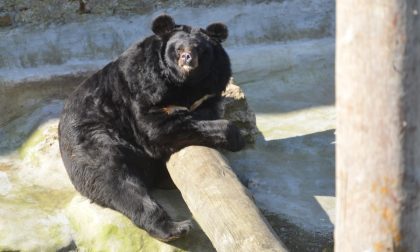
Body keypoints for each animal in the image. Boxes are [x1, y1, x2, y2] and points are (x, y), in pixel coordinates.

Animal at [57, 14, 244, 242]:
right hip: (94, 140)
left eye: (199, 49)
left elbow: (207, 106)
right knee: (117, 181)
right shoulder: (142, 88)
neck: (184, 84)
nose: (187, 59)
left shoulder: (212, 85)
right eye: (178, 49)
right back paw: (175, 228)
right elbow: (155, 128)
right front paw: (235, 136)